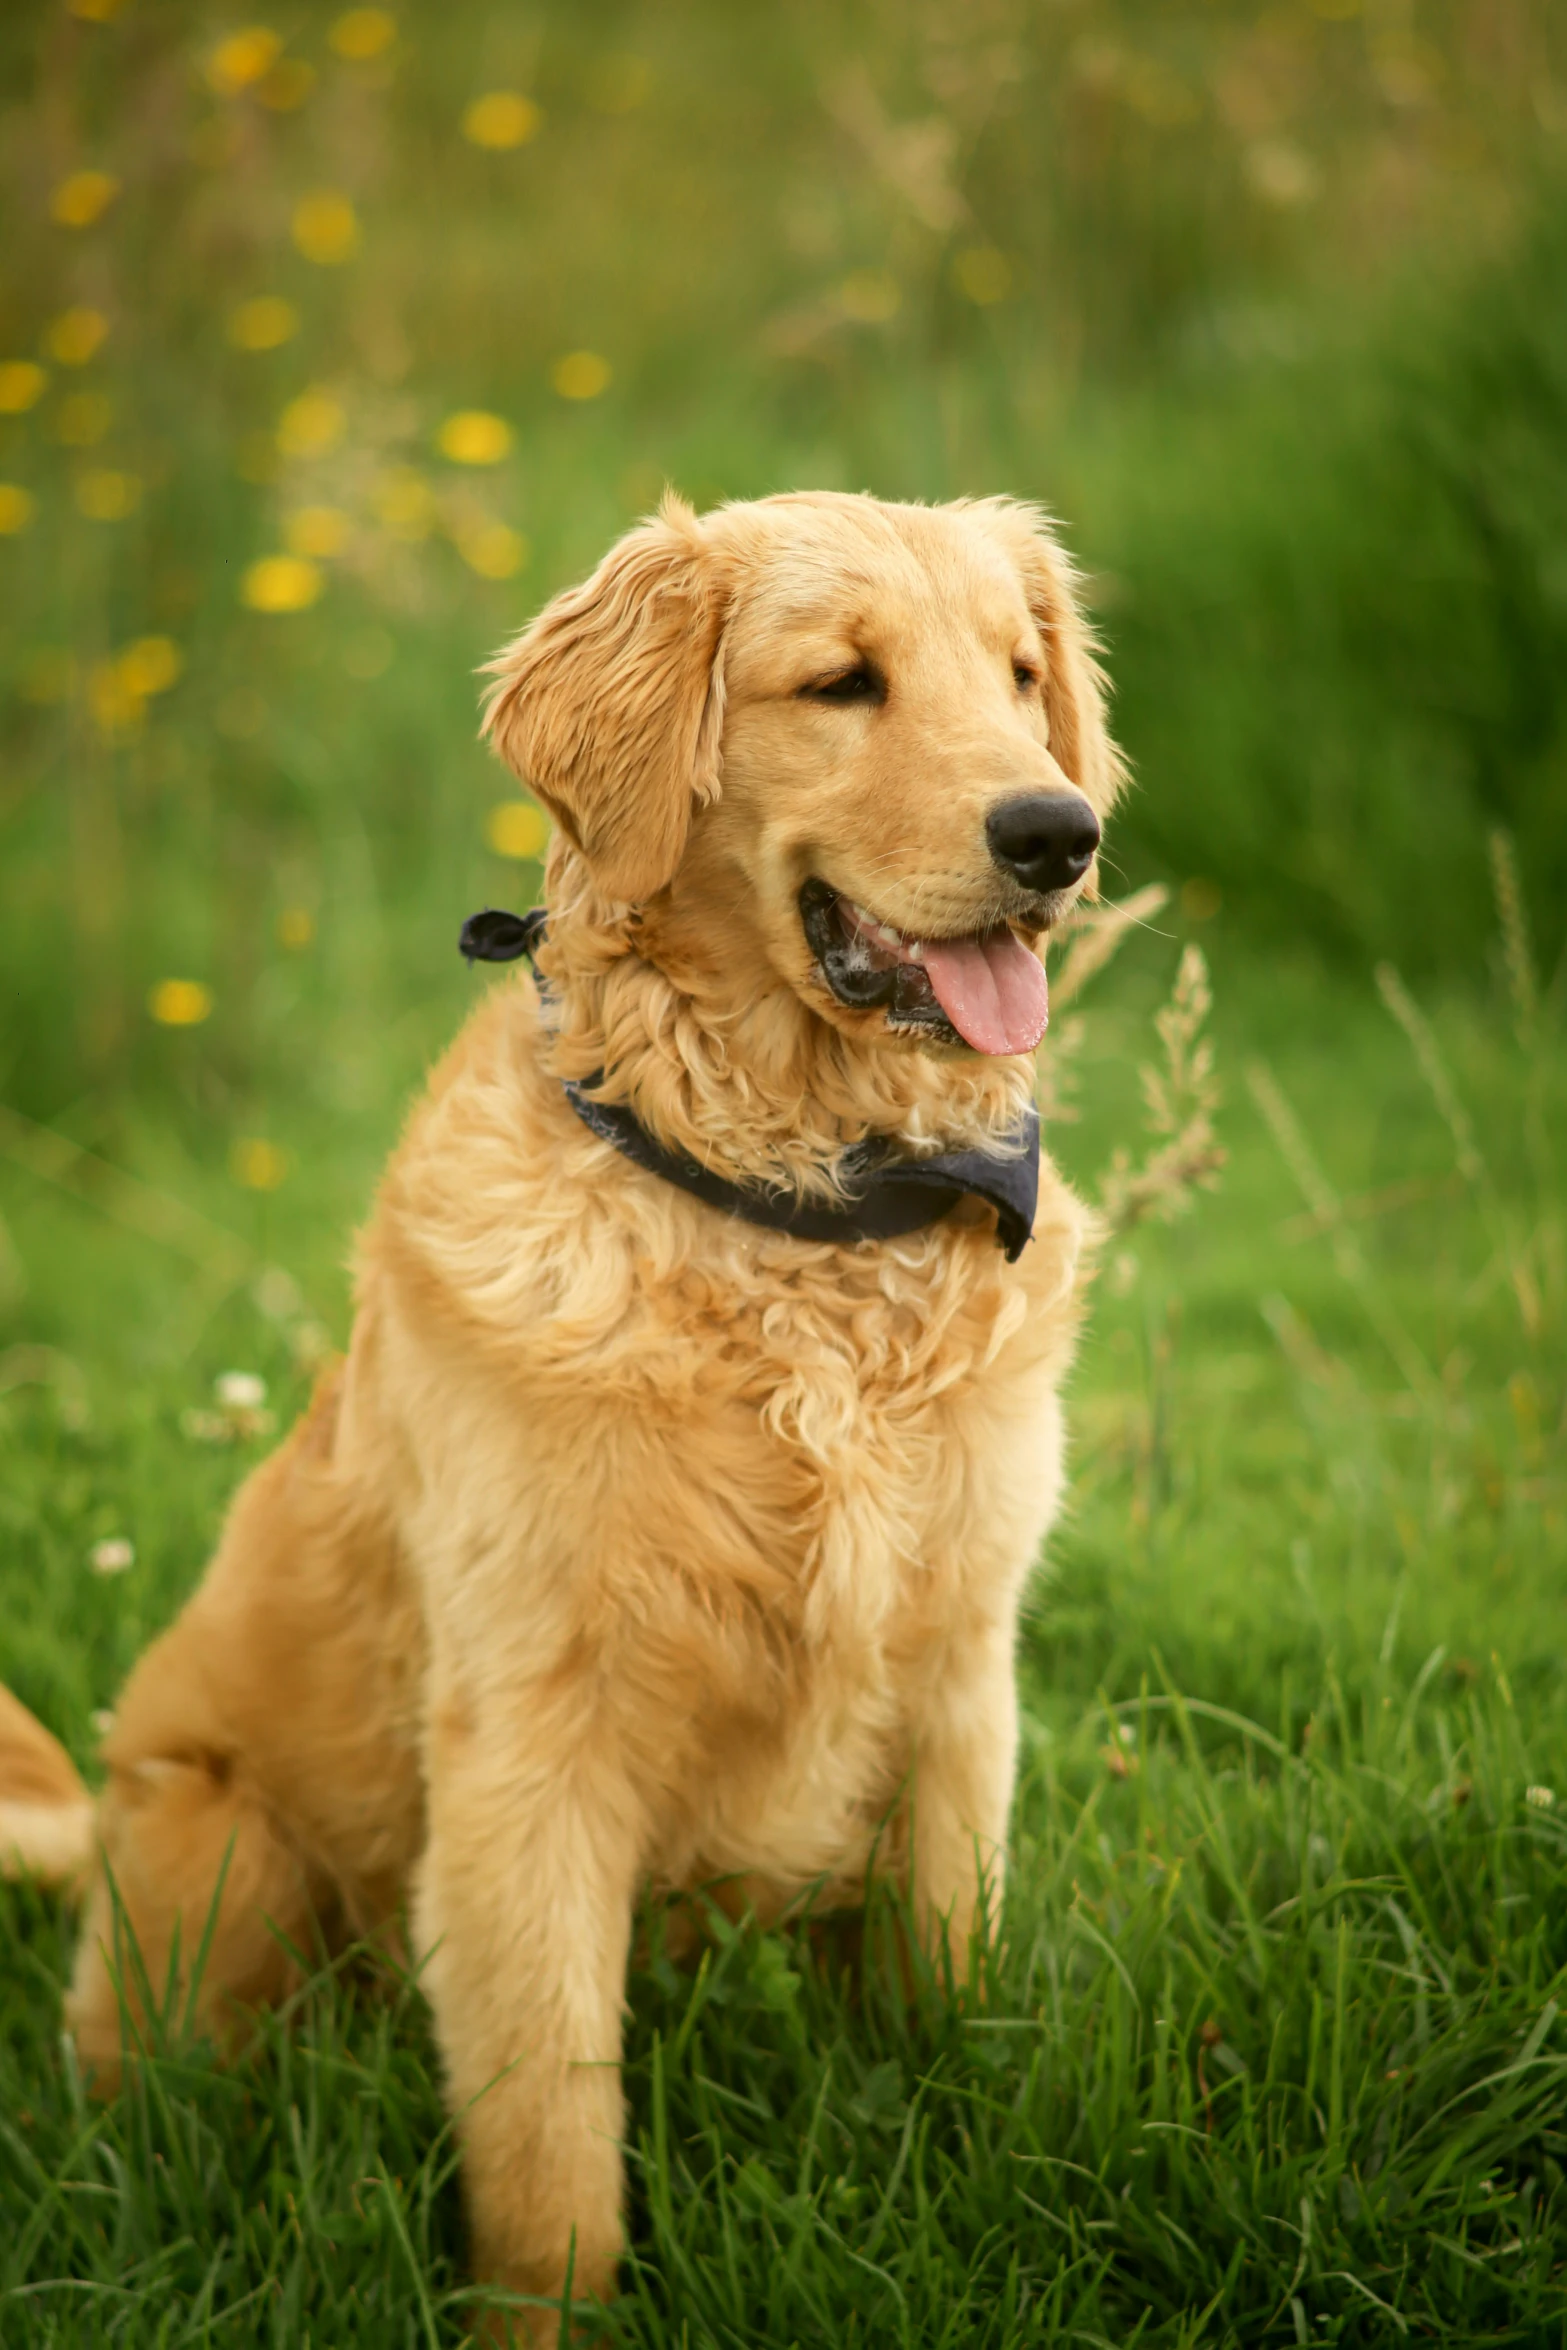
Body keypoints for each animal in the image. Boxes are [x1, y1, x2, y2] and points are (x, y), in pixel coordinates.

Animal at [0, 491, 1127, 2331]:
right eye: (841, 682)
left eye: (1018, 674)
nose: (1056, 832)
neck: (792, 1213)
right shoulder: (531, 1744)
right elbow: (547, 2141)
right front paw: (546, 2316)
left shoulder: (961, 1686)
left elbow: (938, 2005)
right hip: (218, 1854)